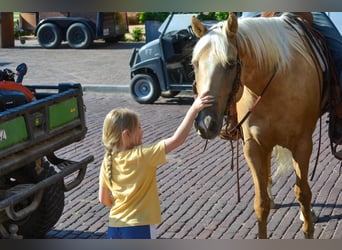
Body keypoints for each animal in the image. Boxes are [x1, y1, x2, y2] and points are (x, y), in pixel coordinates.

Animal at [191, 13, 328, 238]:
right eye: (194, 64)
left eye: (230, 63)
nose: (205, 122)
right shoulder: (253, 146)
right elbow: (260, 203)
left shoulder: (302, 145)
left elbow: (303, 192)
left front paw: (308, 229)